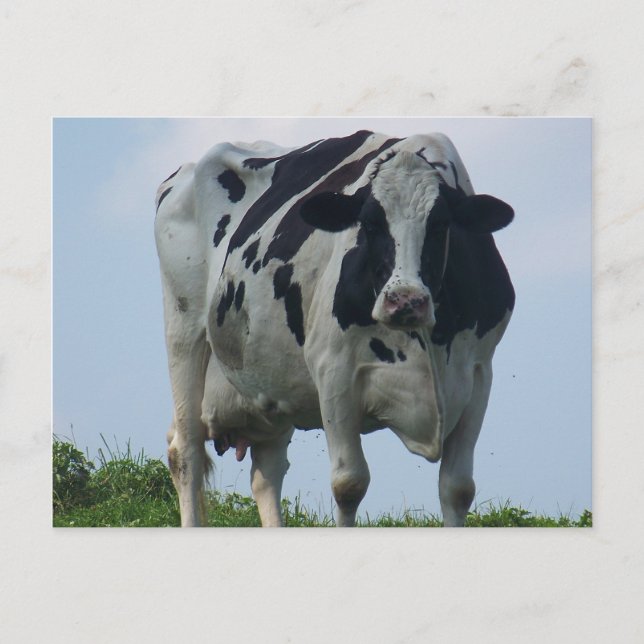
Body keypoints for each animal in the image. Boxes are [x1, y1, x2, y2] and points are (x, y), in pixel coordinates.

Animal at [154, 130, 514, 527]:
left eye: (440, 224)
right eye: (370, 223)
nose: (405, 300)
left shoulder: (478, 374)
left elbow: (457, 488)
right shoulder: (334, 370)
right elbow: (349, 484)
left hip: (269, 381)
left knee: (267, 471)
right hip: (183, 327)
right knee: (186, 450)